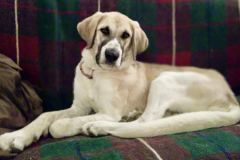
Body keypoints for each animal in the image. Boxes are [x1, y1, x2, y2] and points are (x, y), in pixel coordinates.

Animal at [0, 11, 240, 152]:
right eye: (104, 30)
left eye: (126, 35)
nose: (112, 55)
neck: (96, 73)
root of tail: (232, 99)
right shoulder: (79, 107)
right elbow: (45, 116)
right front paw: (16, 136)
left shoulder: (108, 112)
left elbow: (58, 125)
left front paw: (65, 128)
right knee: (152, 118)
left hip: (164, 80)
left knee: (146, 121)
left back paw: (98, 127)